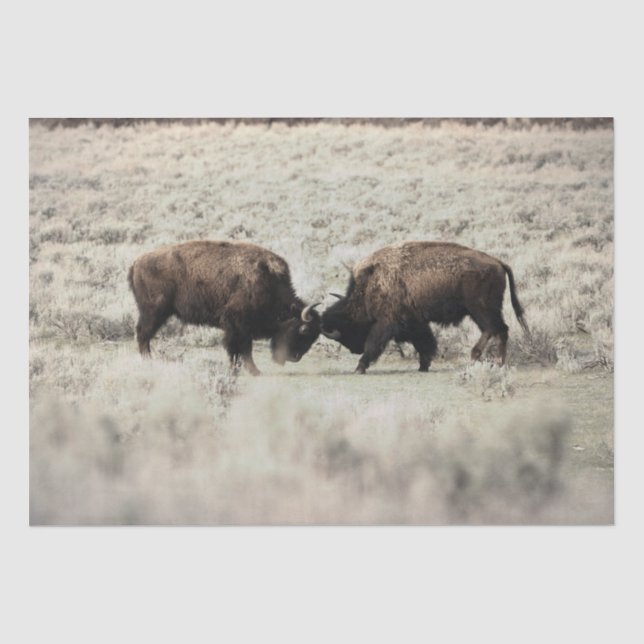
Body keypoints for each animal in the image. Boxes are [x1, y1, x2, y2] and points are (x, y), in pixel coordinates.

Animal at [128, 240, 321, 375]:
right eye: (304, 330)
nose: (295, 357)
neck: (269, 283)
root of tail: (136, 263)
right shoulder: (237, 324)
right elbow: (241, 348)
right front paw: (251, 371)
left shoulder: (240, 326)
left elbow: (239, 349)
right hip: (154, 312)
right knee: (143, 334)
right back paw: (148, 361)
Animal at [321, 241, 529, 374]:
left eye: (348, 329)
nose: (354, 350)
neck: (371, 282)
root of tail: (498, 262)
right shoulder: (414, 321)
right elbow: (425, 342)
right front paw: (423, 366)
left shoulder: (386, 322)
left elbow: (373, 344)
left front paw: (359, 367)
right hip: (485, 310)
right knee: (499, 330)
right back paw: (498, 364)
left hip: (480, 309)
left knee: (494, 329)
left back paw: (479, 357)